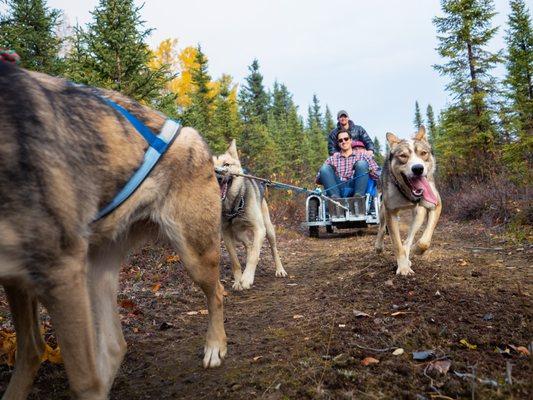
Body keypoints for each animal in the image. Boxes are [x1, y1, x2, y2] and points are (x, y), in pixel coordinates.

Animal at [0, 64, 225, 398]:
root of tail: (195, 137)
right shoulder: (17, 280)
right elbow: (31, 351)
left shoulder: (60, 274)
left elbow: (82, 378)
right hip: (94, 272)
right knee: (115, 346)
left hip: (195, 254)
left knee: (218, 292)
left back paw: (215, 346)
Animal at [212, 141, 286, 290]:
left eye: (226, 164)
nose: (217, 175)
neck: (234, 207)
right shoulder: (226, 234)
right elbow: (235, 261)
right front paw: (238, 280)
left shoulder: (259, 229)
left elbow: (253, 256)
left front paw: (246, 278)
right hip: (239, 234)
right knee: (249, 245)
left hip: (268, 230)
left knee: (273, 250)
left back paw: (280, 269)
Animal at [372, 127, 442, 276]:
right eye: (403, 156)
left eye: (423, 153)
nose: (418, 168)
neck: (407, 193)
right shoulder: (391, 213)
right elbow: (397, 245)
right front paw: (403, 268)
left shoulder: (435, 205)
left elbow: (424, 241)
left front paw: (416, 250)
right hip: (383, 210)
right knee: (382, 228)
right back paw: (379, 246)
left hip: (419, 214)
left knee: (409, 239)